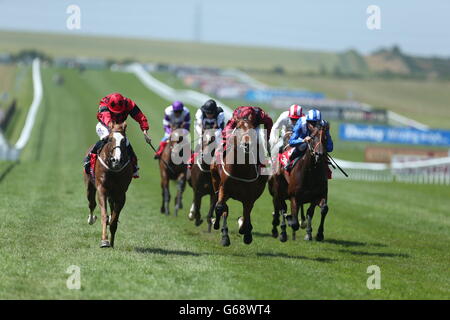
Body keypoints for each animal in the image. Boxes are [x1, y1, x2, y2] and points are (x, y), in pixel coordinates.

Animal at [82, 120, 133, 248]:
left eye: (123, 140)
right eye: (110, 139)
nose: (117, 160)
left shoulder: (121, 194)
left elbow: (114, 219)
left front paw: (112, 242)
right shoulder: (102, 190)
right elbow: (104, 215)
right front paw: (104, 241)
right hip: (90, 186)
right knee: (91, 204)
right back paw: (91, 219)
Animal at [210, 117, 268, 245]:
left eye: (252, 128)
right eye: (238, 127)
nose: (247, 144)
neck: (241, 169)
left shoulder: (249, 197)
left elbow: (246, 214)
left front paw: (245, 231)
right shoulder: (224, 188)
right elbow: (220, 207)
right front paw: (216, 224)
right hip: (216, 182)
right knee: (223, 207)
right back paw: (224, 236)